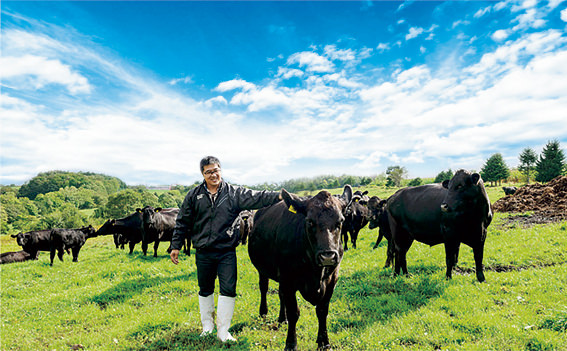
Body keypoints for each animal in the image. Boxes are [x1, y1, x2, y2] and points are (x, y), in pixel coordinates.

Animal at [248, 186, 356, 350]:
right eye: (309, 221)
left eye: (340, 221)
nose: (328, 256)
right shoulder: (288, 280)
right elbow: (294, 312)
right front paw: (291, 344)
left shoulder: (331, 280)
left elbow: (322, 311)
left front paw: (324, 342)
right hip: (262, 270)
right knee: (264, 288)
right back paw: (263, 313)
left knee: (280, 295)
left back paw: (282, 319)